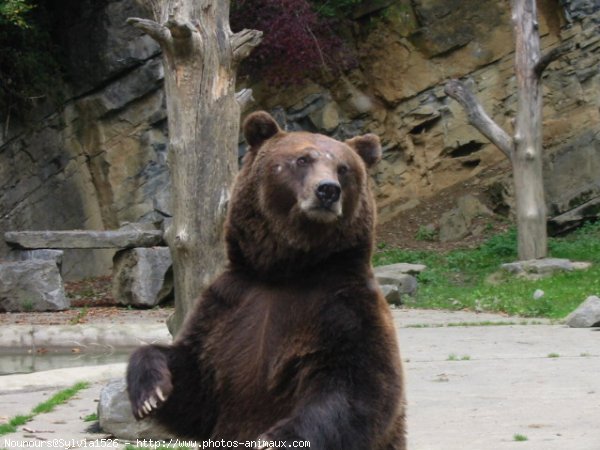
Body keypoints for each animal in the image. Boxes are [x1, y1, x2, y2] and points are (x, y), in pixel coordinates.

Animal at [128, 110, 406, 448]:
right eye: (302, 159)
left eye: (344, 168)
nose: (328, 190)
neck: (286, 270)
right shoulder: (227, 306)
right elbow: (194, 381)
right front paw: (150, 393)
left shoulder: (345, 306)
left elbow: (361, 386)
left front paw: (273, 437)